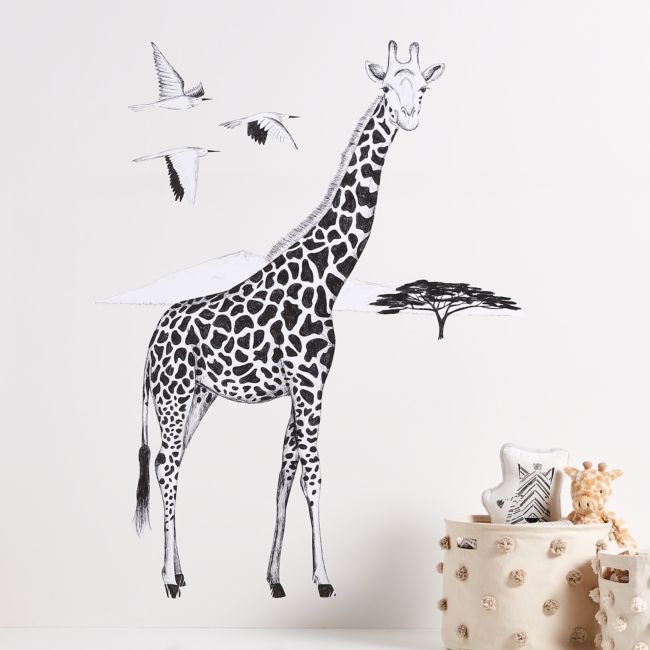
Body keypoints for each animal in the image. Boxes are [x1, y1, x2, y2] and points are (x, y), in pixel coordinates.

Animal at [133, 40, 445, 599]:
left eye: (424, 87)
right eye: (388, 87)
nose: (408, 117)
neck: (328, 278)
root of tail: (150, 341)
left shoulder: (304, 387)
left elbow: (285, 474)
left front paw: (276, 578)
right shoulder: (308, 385)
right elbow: (312, 476)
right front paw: (323, 579)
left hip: (198, 397)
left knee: (175, 464)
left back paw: (181, 571)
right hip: (171, 398)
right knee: (166, 468)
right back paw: (168, 579)